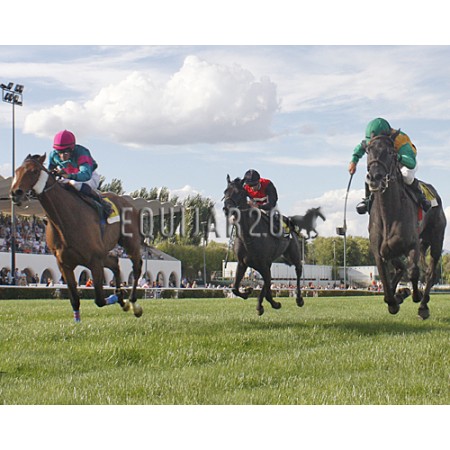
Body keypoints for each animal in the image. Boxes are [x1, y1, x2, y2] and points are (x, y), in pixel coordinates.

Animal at [10, 154, 144, 322]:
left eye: (33, 171)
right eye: (16, 170)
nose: (16, 193)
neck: (65, 219)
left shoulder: (94, 260)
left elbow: (99, 300)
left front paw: (117, 297)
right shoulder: (65, 264)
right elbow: (74, 299)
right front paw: (77, 322)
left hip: (129, 242)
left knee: (136, 267)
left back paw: (133, 303)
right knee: (114, 262)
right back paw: (122, 299)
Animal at [223, 175, 304, 316]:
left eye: (239, 193)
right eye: (225, 192)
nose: (226, 208)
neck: (248, 237)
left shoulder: (264, 264)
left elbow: (267, 289)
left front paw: (271, 304)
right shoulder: (243, 263)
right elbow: (235, 289)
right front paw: (248, 292)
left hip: (292, 253)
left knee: (298, 269)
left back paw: (299, 299)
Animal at [365, 134, 446, 319]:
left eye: (390, 152)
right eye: (368, 150)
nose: (375, 177)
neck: (389, 215)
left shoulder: (412, 244)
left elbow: (414, 271)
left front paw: (415, 296)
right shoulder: (380, 250)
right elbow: (385, 275)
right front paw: (395, 299)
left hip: (437, 239)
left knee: (430, 272)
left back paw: (423, 304)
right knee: (402, 268)